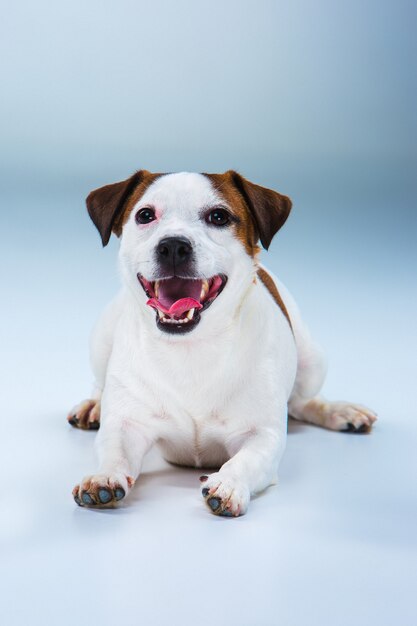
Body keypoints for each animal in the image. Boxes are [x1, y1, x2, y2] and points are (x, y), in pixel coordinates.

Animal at [69, 168, 376, 516]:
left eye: (219, 216)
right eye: (145, 215)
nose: (173, 245)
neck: (190, 349)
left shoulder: (262, 436)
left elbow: (245, 459)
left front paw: (228, 483)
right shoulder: (127, 426)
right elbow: (115, 449)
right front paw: (104, 476)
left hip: (313, 361)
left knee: (302, 401)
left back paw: (340, 411)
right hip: (101, 340)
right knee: (100, 381)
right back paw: (94, 405)